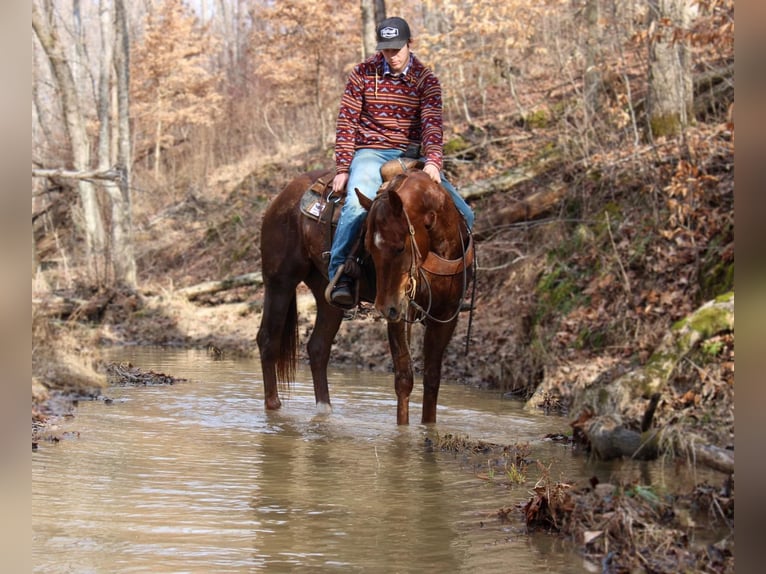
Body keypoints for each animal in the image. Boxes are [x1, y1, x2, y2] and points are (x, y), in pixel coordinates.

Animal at [258, 169, 474, 426]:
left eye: (400, 247)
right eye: (369, 247)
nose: (384, 308)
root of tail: (282, 197)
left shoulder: (446, 315)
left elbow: (432, 380)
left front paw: (428, 428)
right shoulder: (401, 313)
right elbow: (404, 378)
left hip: (328, 297)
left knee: (318, 347)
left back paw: (324, 412)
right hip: (280, 282)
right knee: (269, 341)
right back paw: (274, 409)